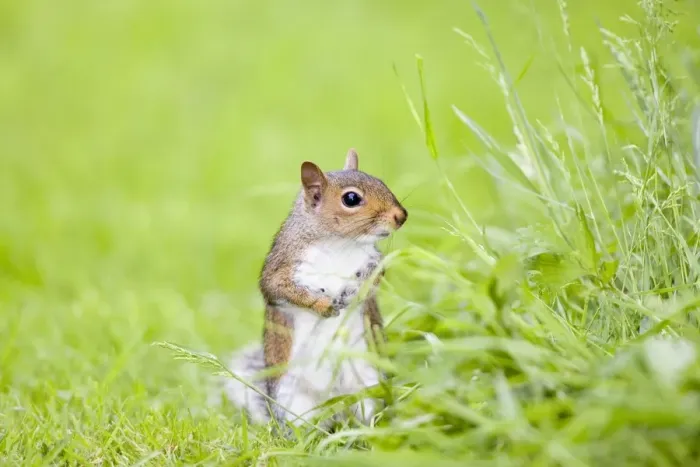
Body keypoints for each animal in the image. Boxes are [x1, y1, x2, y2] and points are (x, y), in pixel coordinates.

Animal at [223, 148, 408, 431]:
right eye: (351, 199)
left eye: (380, 181)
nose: (401, 216)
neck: (339, 243)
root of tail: (335, 407)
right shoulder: (281, 266)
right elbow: (278, 289)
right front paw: (323, 304)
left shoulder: (373, 260)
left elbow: (374, 279)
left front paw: (355, 290)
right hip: (292, 399)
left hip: (369, 382)